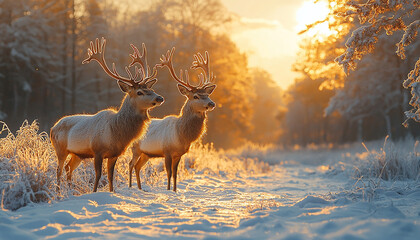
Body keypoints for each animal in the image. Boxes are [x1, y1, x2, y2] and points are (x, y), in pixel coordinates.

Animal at [50, 37, 164, 192]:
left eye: (151, 89)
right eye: (139, 92)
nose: (159, 98)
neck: (115, 132)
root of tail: (53, 127)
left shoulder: (114, 154)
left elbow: (110, 176)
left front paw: (111, 191)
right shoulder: (97, 150)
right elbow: (98, 175)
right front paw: (94, 192)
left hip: (77, 153)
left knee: (69, 167)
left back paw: (70, 191)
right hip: (60, 148)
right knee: (59, 170)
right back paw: (58, 192)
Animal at [128, 47, 217, 192]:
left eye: (207, 94)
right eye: (196, 96)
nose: (211, 103)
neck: (181, 134)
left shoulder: (179, 154)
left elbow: (175, 173)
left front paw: (175, 191)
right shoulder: (167, 150)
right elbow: (169, 172)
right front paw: (169, 190)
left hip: (146, 153)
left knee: (137, 166)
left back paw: (140, 188)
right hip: (135, 148)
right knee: (131, 164)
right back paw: (131, 187)